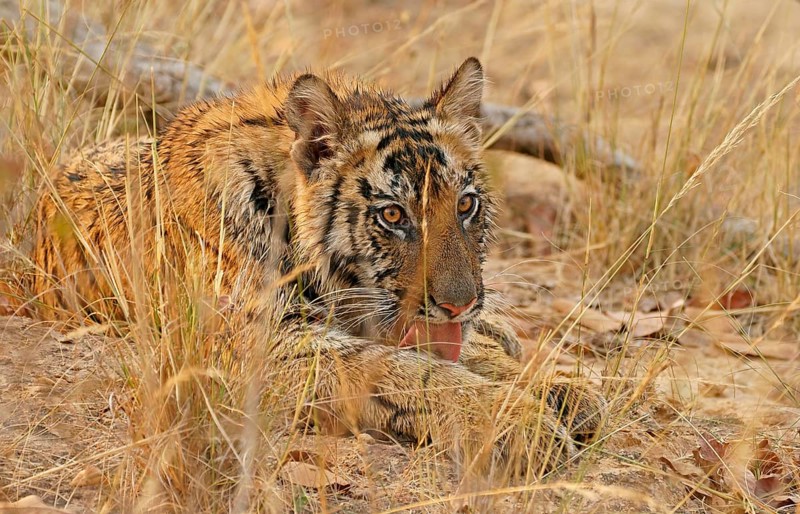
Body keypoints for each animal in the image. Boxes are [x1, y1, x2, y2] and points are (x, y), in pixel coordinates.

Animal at [29, 57, 604, 475]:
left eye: (465, 205)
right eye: (393, 215)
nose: (460, 304)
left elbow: (443, 358)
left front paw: (561, 391)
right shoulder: (260, 343)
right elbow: (409, 371)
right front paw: (524, 425)